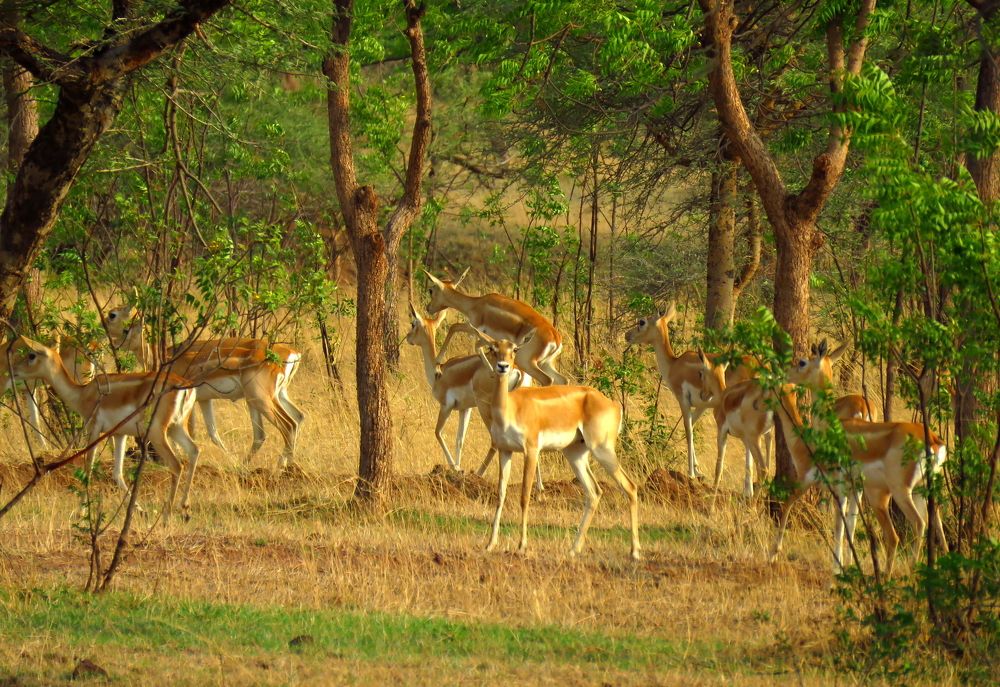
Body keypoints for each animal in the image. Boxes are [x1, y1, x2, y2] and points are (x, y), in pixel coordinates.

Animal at [6, 337, 199, 521]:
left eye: (31, 355)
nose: (13, 370)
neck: (83, 394)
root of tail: (184, 386)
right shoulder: (119, 434)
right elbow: (117, 474)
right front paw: (141, 511)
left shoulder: (94, 429)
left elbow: (88, 468)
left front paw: (81, 512)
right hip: (176, 428)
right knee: (194, 450)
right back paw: (185, 509)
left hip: (157, 432)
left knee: (177, 465)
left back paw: (167, 517)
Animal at [423, 269, 567, 386]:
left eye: (431, 290)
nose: (428, 308)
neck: (475, 304)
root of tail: (556, 338)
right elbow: (475, 344)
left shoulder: (474, 327)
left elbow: (455, 327)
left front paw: (438, 362)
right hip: (545, 363)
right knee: (563, 380)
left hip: (526, 361)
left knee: (547, 380)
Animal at [474, 332, 640, 560]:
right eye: (493, 348)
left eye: (514, 349)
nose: (503, 366)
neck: (510, 408)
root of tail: (613, 404)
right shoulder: (505, 450)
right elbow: (501, 495)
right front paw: (490, 544)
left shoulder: (531, 451)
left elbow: (525, 496)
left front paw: (522, 546)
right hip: (576, 454)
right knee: (594, 492)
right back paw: (573, 549)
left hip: (602, 450)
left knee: (629, 486)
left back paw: (635, 552)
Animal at [624, 302, 755, 480]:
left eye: (642, 322)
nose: (627, 335)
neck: (674, 365)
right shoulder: (701, 405)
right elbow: (691, 427)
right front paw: (698, 470)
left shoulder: (683, 400)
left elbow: (688, 430)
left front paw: (692, 473)